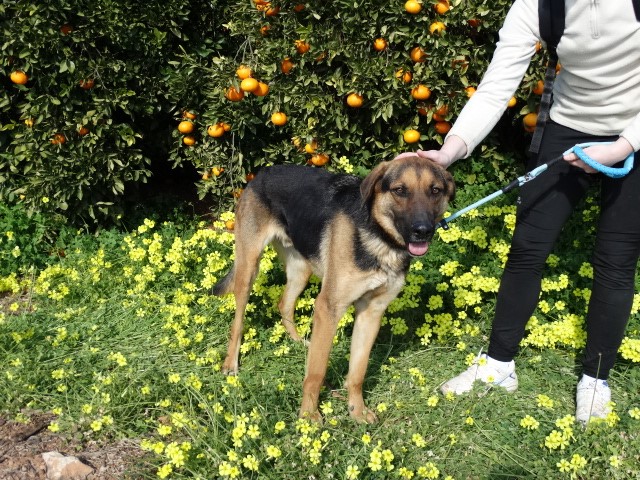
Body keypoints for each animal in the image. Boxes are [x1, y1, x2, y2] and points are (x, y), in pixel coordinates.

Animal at [213, 155, 455, 423]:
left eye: (435, 190)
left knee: (284, 304)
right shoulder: (328, 309)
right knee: (238, 321)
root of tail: (264, 173)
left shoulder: (371, 313)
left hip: (301, 270)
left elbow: (357, 372)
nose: (422, 231)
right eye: (400, 190)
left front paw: (357, 410)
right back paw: (230, 363)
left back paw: (298, 342)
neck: (379, 238)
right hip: (249, 267)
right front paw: (309, 415)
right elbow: (316, 372)